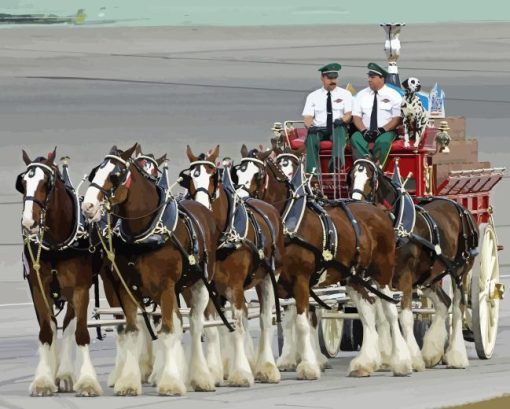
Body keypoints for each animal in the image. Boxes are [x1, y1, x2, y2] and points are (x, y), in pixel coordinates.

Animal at [16, 148, 103, 394]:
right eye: (23, 183)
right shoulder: (38, 288)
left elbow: (80, 332)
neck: (56, 244)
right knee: (55, 326)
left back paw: (65, 374)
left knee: (70, 325)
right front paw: (43, 380)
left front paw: (87, 381)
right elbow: (47, 331)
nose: (29, 222)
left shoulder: (80, 288)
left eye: (47, 183)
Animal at [81, 144, 219, 396]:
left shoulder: (165, 288)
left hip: (199, 284)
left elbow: (167, 331)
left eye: (115, 175)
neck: (145, 232)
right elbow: (132, 331)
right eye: (95, 172)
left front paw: (171, 382)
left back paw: (202, 376)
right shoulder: (126, 288)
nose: (88, 206)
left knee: (196, 326)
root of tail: (202, 208)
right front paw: (128, 381)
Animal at [184, 145, 286, 384]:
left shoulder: (235, 286)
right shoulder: (210, 286)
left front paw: (240, 372)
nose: (200, 205)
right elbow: (213, 327)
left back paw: (266, 367)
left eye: (213, 176)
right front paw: (213, 371)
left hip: (269, 278)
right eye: (189, 178)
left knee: (265, 319)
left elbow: (238, 325)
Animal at [235, 147, 414, 376]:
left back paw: (401, 360)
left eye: (257, 175)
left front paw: (309, 366)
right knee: (368, 310)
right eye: (237, 173)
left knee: (389, 311)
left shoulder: (302, 279)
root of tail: (377, 210)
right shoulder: (281, 281)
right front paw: (287, 360)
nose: (240, 203)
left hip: (383, 271)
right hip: (354, 277)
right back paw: (366, 362)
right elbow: (289, 319)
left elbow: (303, 322)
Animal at [348, 158, 480, 368]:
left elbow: (406, 317)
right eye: (351, 176)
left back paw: (456, 356)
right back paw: (432, 352)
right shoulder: (380, 279)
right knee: (444, 303)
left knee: (458, 308)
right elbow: (384, 314)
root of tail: (461, 208)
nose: (355, 203)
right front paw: (386, 356)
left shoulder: (406, 278)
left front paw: (411, 358)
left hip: (461, 271)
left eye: (370, 179)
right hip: (430, 276)